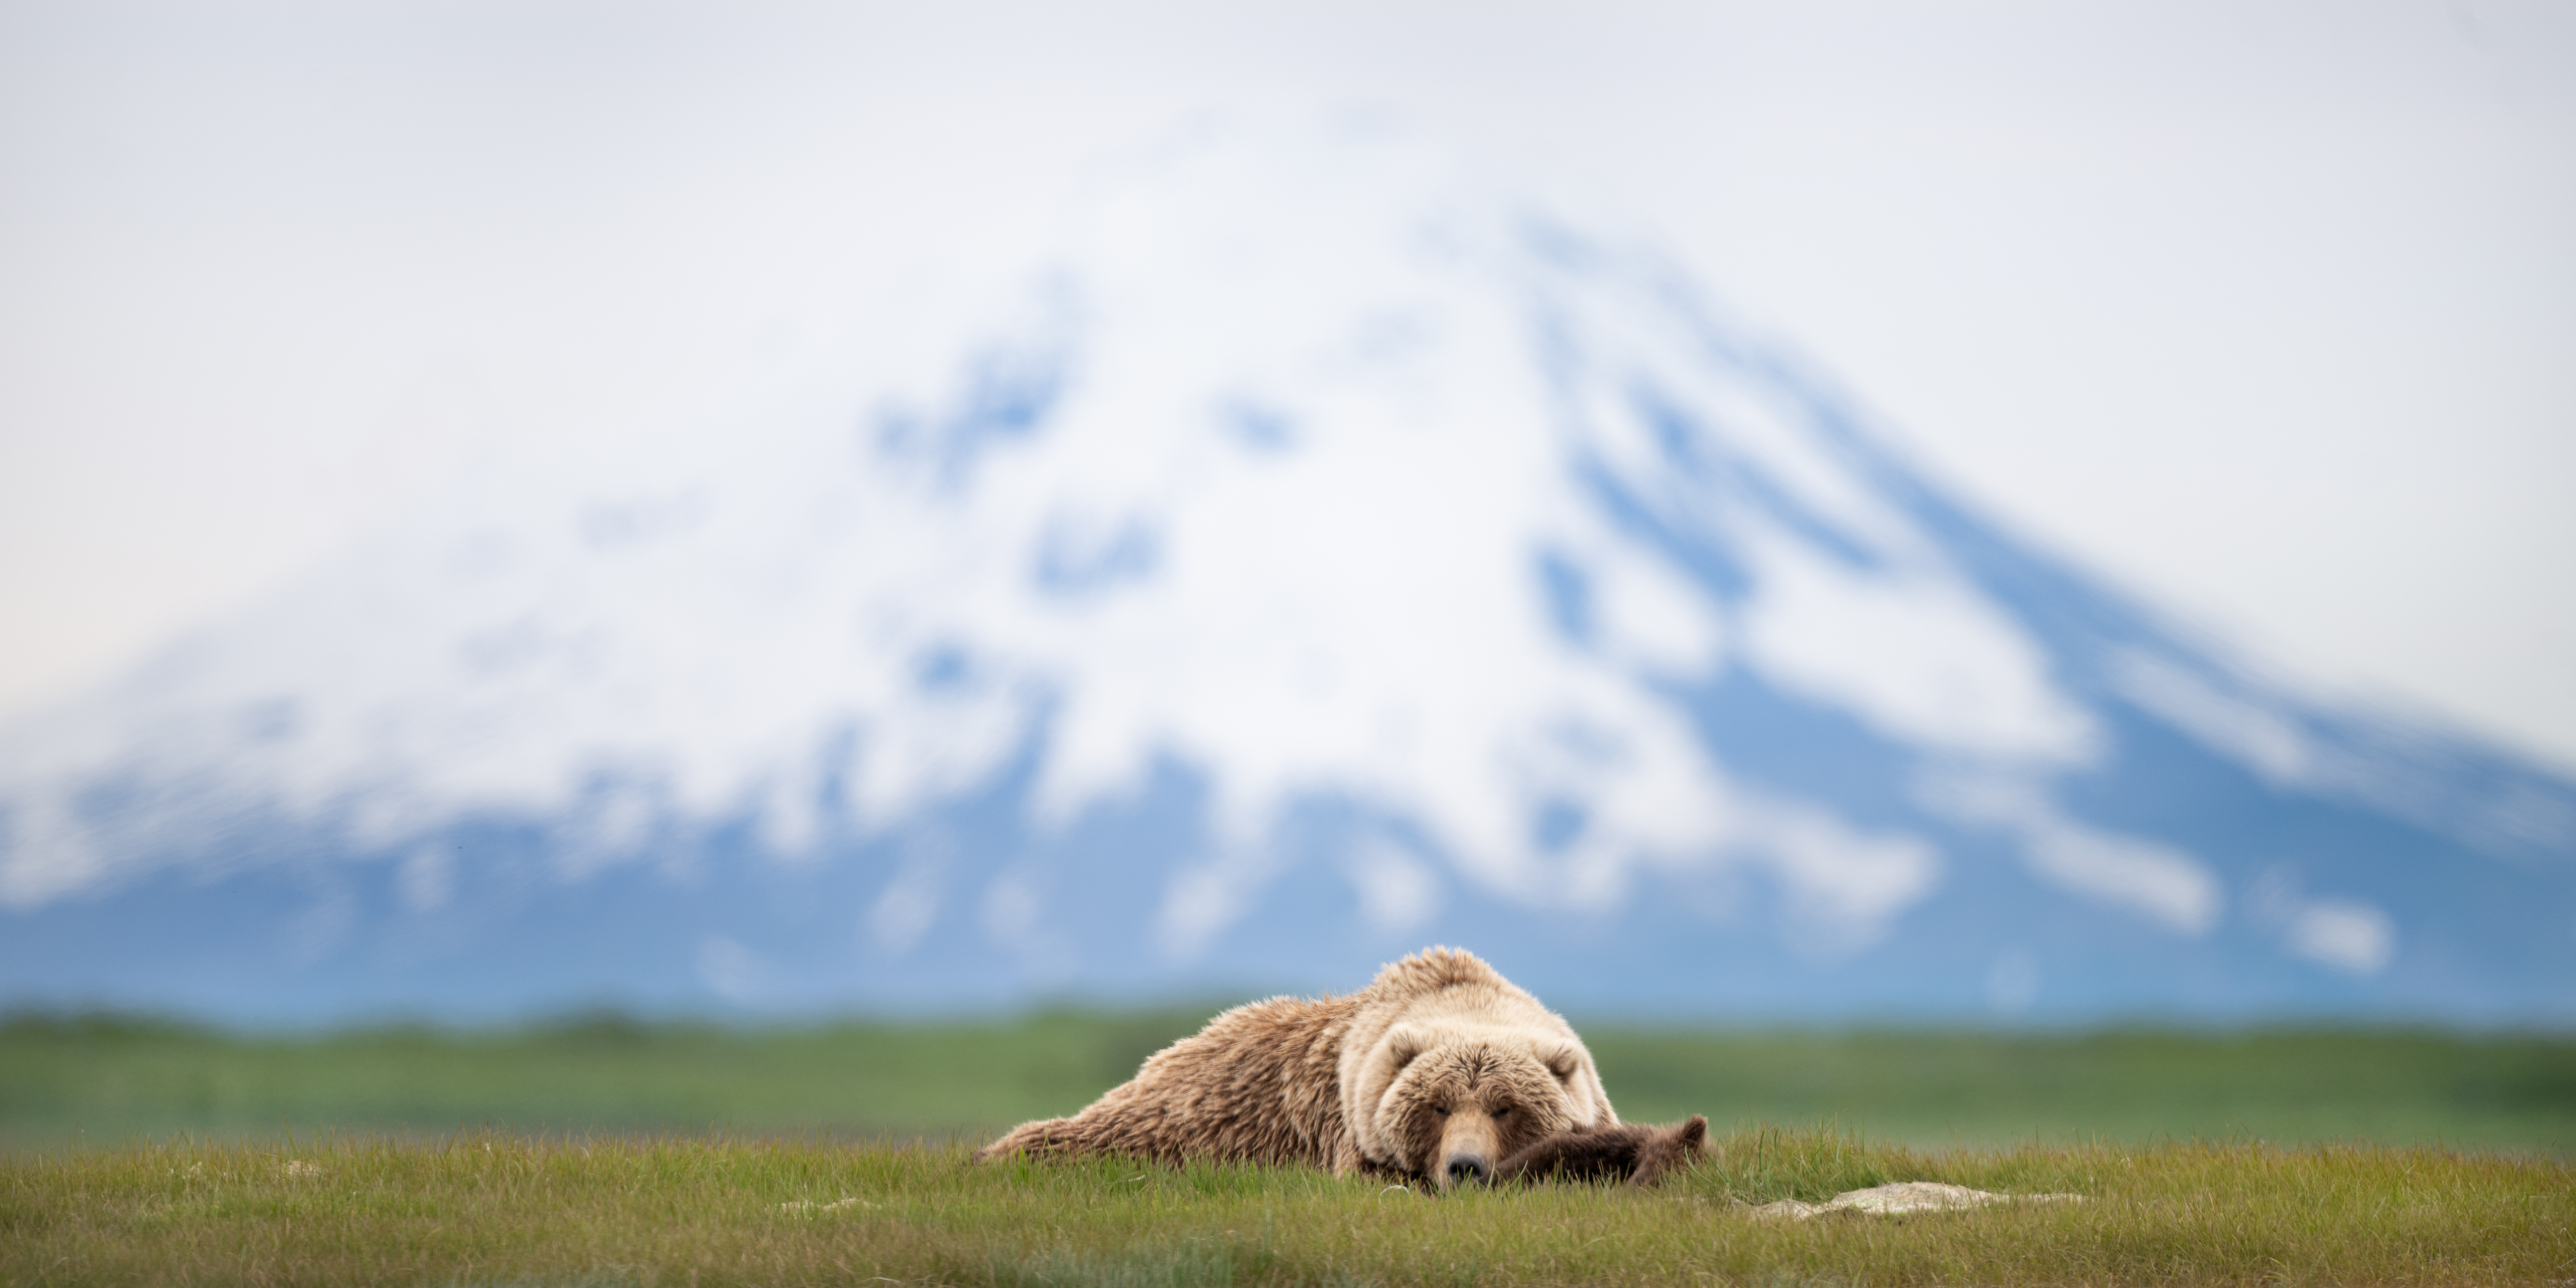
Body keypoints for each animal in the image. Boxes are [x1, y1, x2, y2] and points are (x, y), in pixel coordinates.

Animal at [974, 947, 1618, 1190]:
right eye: (1437, 1105)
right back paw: (1002, 1151)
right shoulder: (1351, 1125)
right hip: (1167, 1119)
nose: (1466, 1165)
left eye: (1505, 1106)